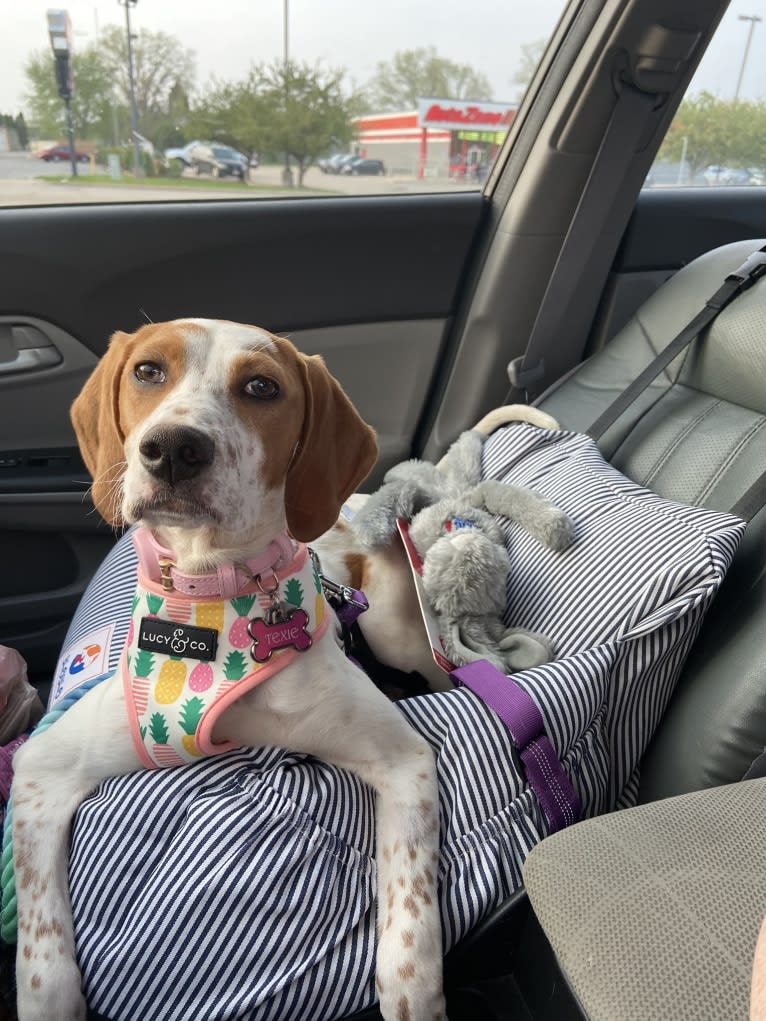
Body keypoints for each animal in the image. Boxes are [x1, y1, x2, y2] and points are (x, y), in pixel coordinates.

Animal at [10, 318, 559, 1021]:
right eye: (148, 372)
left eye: (261, 387)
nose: (173, 449)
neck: (217, 596)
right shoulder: (42, 769)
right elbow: (40, 953)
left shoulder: (404, 759)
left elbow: (411, 915)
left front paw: (414, 992)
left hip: (393, 633)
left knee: (449, 669)